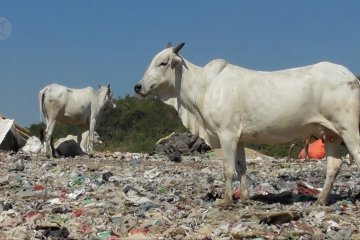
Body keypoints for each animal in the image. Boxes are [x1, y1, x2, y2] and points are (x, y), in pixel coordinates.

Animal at [134, 42, 360, 208]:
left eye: (163, 63)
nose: (138, 86)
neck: (205, 87)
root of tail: (350, 76)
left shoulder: (226, 134)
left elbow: (228, 168)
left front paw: (226, 201)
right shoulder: (240, 138)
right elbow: (241, 167)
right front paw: (244, 198)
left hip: (348, 129)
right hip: (330, 133)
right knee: (334, 165)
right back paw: (321, 200)